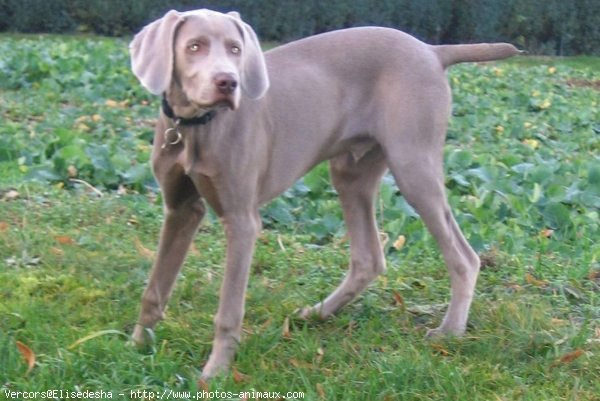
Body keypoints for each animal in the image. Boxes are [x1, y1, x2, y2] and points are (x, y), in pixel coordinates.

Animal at [127, 9, 520, 378]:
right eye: (194, 46)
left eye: (235, 49)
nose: (228, 82)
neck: (194, 127)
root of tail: (432, 51)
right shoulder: (181, 209)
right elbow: (155, 286)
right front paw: (137, 344)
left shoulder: (241, 220)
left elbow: (229, 307)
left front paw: (215, 372)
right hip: (351, 173)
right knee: (368, 258)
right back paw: (317, 313)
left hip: (413, 164)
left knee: (464, 257)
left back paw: (449, 331)